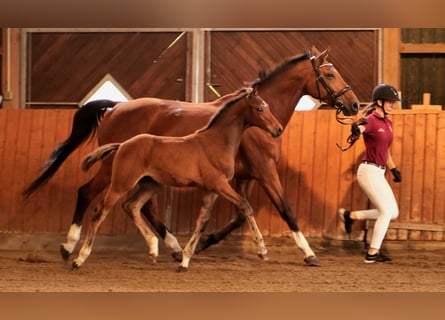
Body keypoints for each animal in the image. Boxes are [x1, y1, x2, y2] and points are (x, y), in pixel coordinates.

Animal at [72, 87, 280, 270]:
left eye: (268, 106)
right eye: (259, 108)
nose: (277, 129)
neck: (215, 142)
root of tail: (122, 144)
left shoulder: (211, 190)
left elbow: (201, 222)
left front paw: (185, 260)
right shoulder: (220, 185)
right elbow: (245, 205)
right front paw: (262, 251)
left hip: (150, 185)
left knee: (132, 206)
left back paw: (153, 249)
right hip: (121, 184)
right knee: (99, 212)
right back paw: (78, 259)